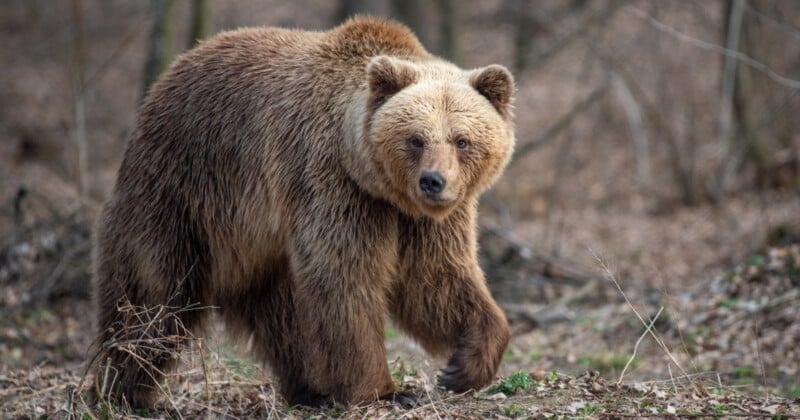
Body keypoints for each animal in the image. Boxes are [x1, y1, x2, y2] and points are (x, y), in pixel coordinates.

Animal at [92, 15, 512, 406]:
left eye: (461, 140)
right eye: (416, 139)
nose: (433, 181)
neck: (373, 179)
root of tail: (164, 80)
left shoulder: (419, 219)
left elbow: (435, 280)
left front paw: (463, 366)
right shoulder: (329, 181)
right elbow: (344, 278)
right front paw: (384, 391)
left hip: (256, 242)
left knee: (282, 315)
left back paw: (311, 389)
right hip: (179, 193)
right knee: (153, 298)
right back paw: (120, 390)